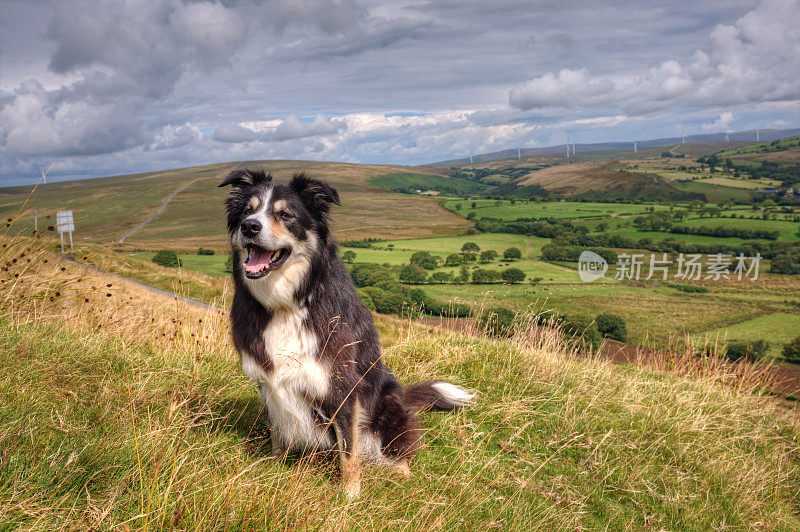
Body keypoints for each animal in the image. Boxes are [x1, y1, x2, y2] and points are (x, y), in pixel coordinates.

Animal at [219, 168, 476, 496]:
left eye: (286, 215)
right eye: (247, 211)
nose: (249, 227)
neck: (287, 303)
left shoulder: (342, 386)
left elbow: (349, 452)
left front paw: (350, 496)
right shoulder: (268, 382)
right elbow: (278, 431)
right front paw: (273, 469)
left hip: (389, 403)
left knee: (398, 447)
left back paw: (401, 474)